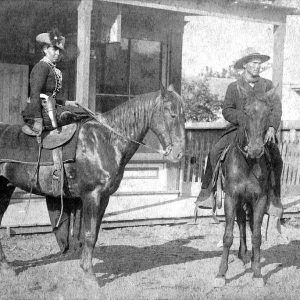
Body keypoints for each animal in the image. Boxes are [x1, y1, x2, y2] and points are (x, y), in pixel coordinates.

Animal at [0, 84, 185, 282]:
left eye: (184, 116)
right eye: (171, 114)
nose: (179, 154)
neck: (106, 140)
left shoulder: (104, 198)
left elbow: (93, 234)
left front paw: (85, 267)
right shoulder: (91, 196)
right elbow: (88, 234)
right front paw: (90, 275)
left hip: (5, 190)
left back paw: (7, 268)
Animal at [214, 86, 278, 288]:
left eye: (268, 113)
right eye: (245, 112)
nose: (256, 150)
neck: (247, 163)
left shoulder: (259, 199)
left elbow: (257, 236)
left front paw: (257, 273)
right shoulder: (231, 197)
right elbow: (227, 236)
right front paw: (221, 274)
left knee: (247, 224)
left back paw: (248, 258)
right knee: (241, 222)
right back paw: (242, 255)